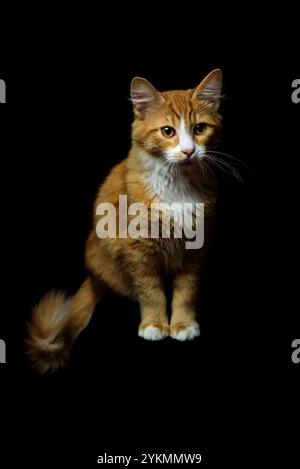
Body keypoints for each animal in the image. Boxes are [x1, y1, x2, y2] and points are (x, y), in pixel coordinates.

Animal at [26, 68, 223, 372]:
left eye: (200, 129)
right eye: (168, 131)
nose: (189, 151)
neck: (178, 186)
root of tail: (92, 276)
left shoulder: (197, 247)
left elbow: (186, 290)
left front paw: (183, 324)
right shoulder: (139, 248)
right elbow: (152, 291)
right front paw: (155, 324)